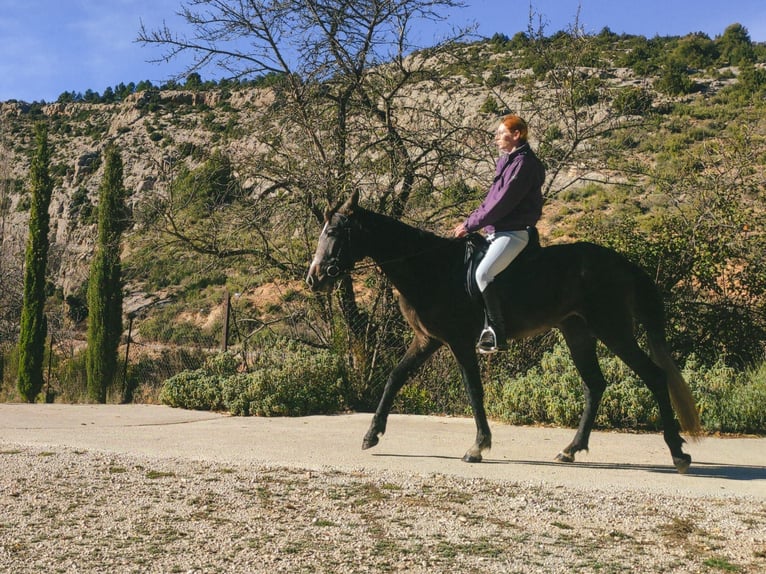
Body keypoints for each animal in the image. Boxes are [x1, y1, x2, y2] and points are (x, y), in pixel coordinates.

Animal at [306, 191, 704, 474]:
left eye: (335, 232)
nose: (314, 278)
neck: (430, 267)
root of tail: (621, 263)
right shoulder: (427, 339)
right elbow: (395, 377)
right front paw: (371, 435)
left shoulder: (458, 342)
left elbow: (473, 391)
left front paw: (478, 447)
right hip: (577, 331)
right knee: (595, 385)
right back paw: (570, 450)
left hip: (613, 328)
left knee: (654, 376)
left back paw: (678, 454)